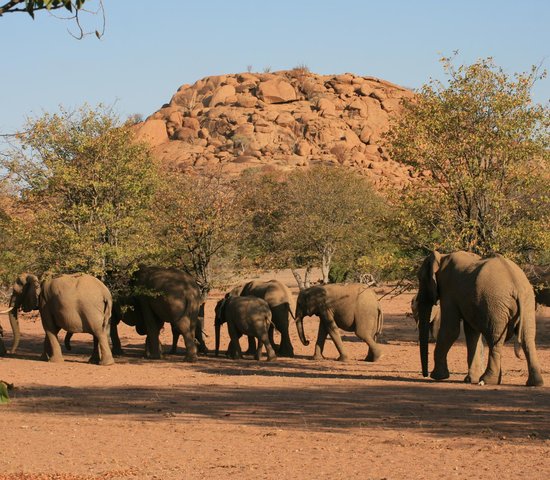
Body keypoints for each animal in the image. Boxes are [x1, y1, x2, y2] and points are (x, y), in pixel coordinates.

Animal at [420, 249, 544, 388]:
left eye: (420, 279)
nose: (425, 374)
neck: (442, 257)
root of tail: (516, 284)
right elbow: (471, 333)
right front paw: (470, 379)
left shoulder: (448, 291)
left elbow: (450, 330)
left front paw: (437, 377)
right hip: (527, 301)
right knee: (527, 338)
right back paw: (535, 383)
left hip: (495, 304)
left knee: (495, 339)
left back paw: (487, 380)